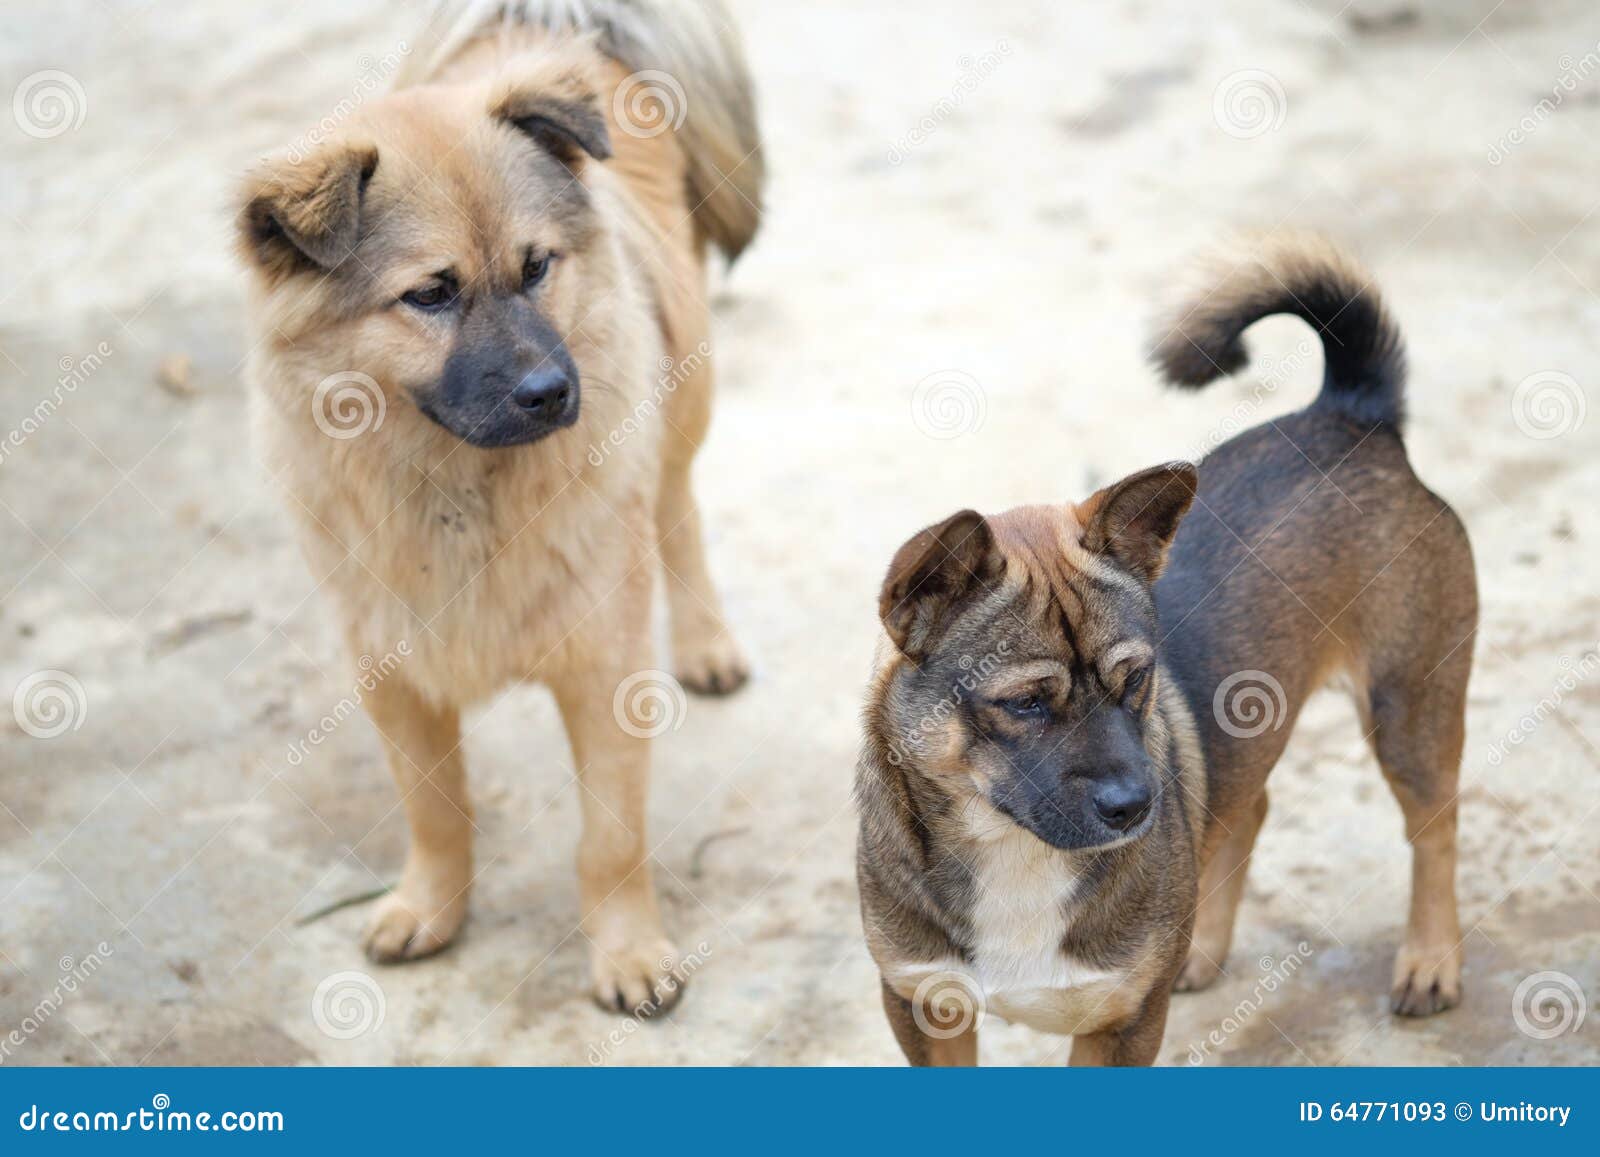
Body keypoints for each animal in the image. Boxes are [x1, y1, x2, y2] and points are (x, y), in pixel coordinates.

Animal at [864, 236, 1472, 1068]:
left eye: (1138, 678)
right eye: (1025, 703)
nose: (1138, 805)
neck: (1011, 850)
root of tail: (1349, 414)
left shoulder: (1120, 1023)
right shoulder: (925, 1007)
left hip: (1410, 710)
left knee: (1434, 826)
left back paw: (1431, 957)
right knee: (1247, 807)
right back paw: (1204, 945)